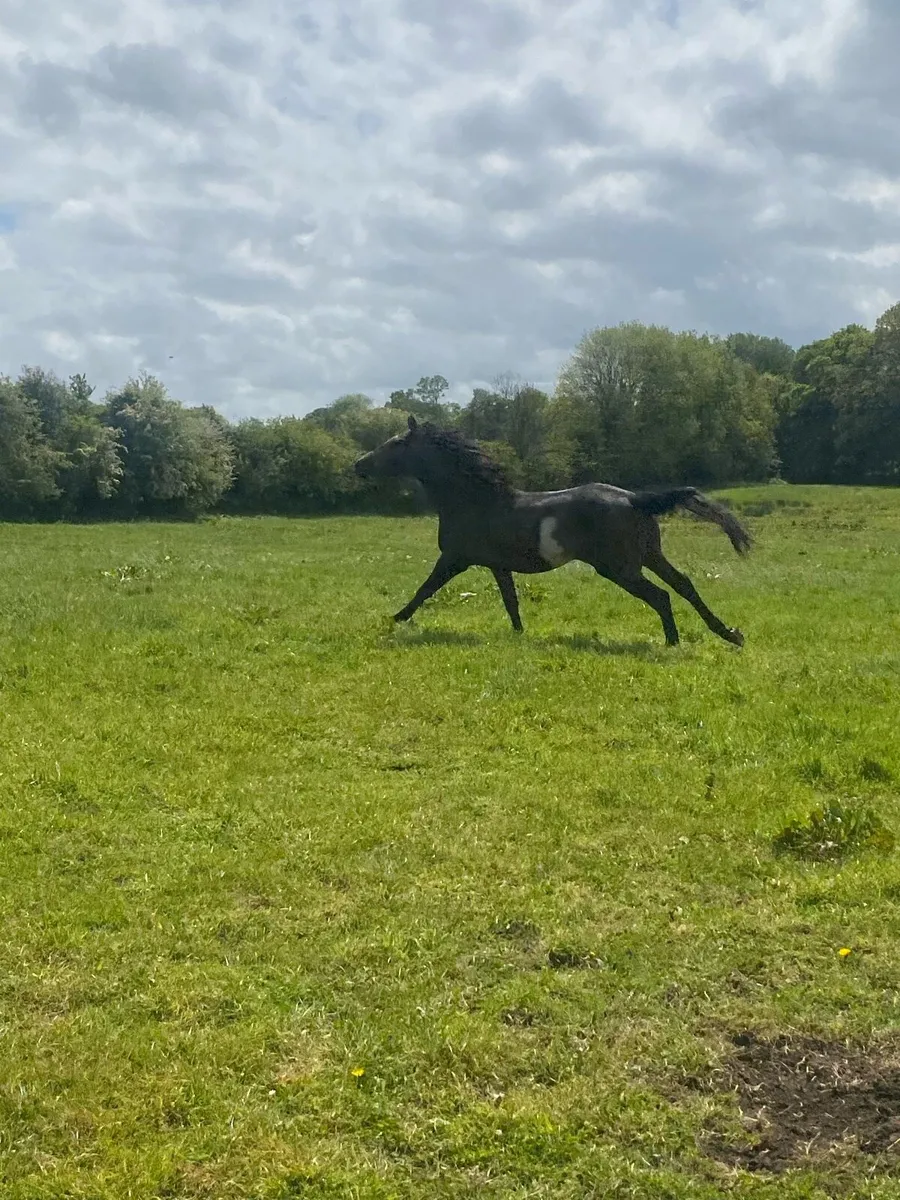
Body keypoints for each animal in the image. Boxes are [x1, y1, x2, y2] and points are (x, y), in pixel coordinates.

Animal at [353, 416, 752, 647]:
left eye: (396, 443)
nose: (358, 464)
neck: (473, 500)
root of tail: (635, 499)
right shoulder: (497, 565)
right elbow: (510, 602)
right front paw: (519, 635)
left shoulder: (455, 558)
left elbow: (424, 590)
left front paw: (392, 620)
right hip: (650, 556)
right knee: (684, 584)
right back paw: (730, 634)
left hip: (620, 568)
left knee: (662, 596)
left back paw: (673, 642)